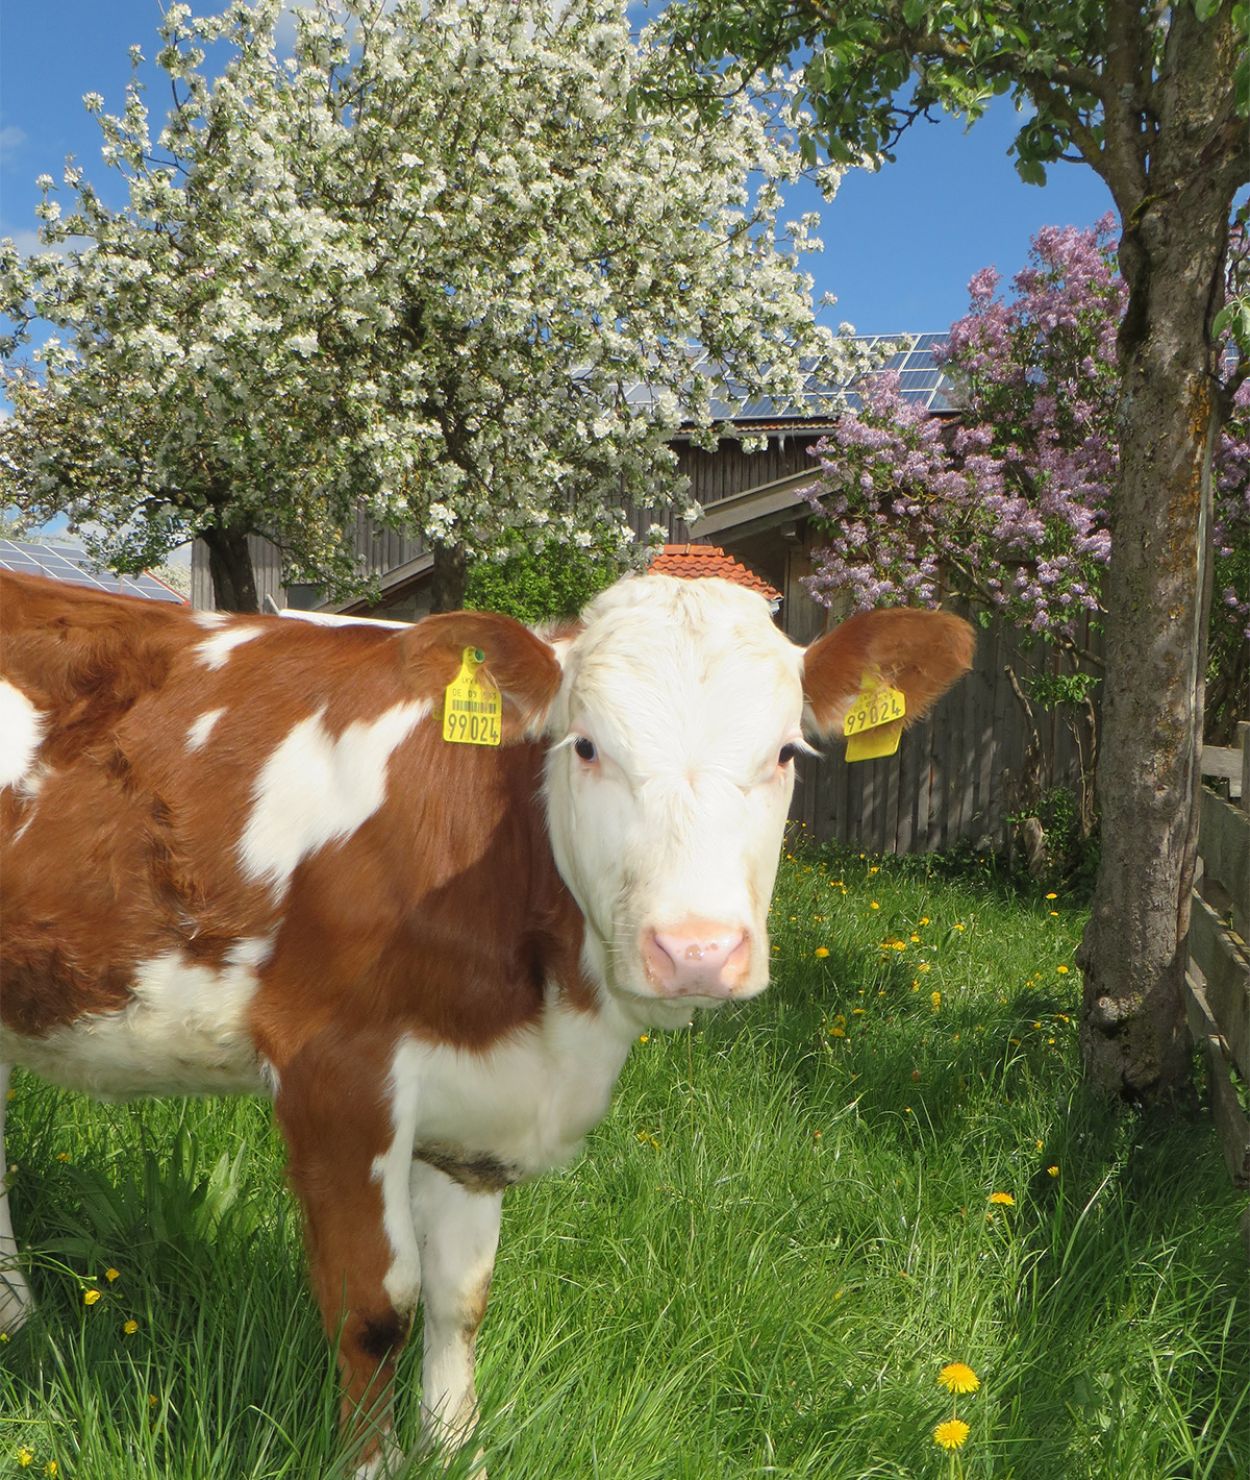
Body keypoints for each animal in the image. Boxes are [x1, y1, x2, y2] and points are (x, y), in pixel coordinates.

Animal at [0, 567, 972, 1474]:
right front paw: (373, 1463)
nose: (696, 949)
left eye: (785, 754)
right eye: (587, 747)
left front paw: (456, 1446)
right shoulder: (334, 1072)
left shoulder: (476, 1095)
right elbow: (372, 1306)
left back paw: (15, 1318)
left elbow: (459, 1294)